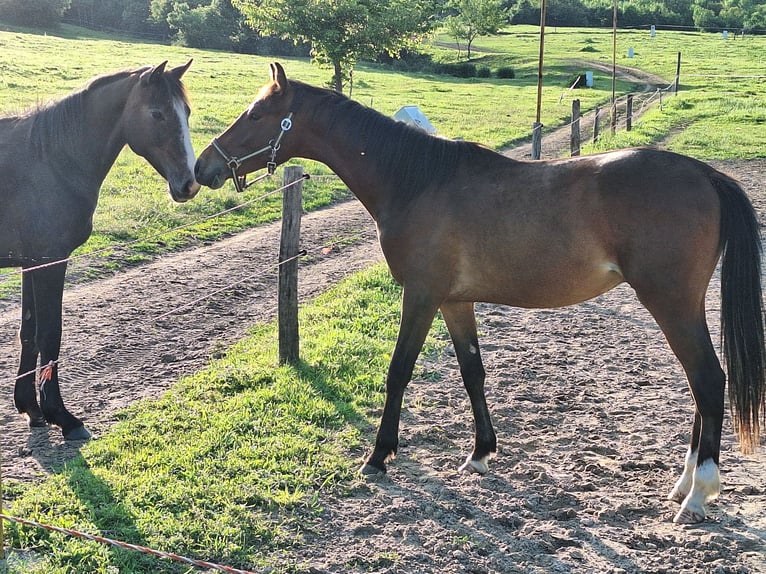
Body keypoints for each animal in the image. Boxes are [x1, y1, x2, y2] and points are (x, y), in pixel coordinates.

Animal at [2, 61, 199, 441]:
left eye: (186, 112)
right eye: (157, 113)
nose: (189, 184)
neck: (50, 161)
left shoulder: (30, 264)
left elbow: (29, 332)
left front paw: (31, 409)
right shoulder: (50, 262)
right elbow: (50, 334)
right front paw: (63, 417)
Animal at [194, 62, 765, 524]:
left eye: (255, 115)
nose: (203, 167)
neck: (417, 180)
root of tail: (705, 174)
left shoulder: (421, 296)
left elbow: (398, 372)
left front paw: (379, 456)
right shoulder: (454, 301)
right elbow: (473, 373)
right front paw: (481, 453)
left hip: (670, 302)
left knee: (708, 380)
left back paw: (698, 495)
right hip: (679, 306)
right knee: (699, 386)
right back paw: (683, 485)